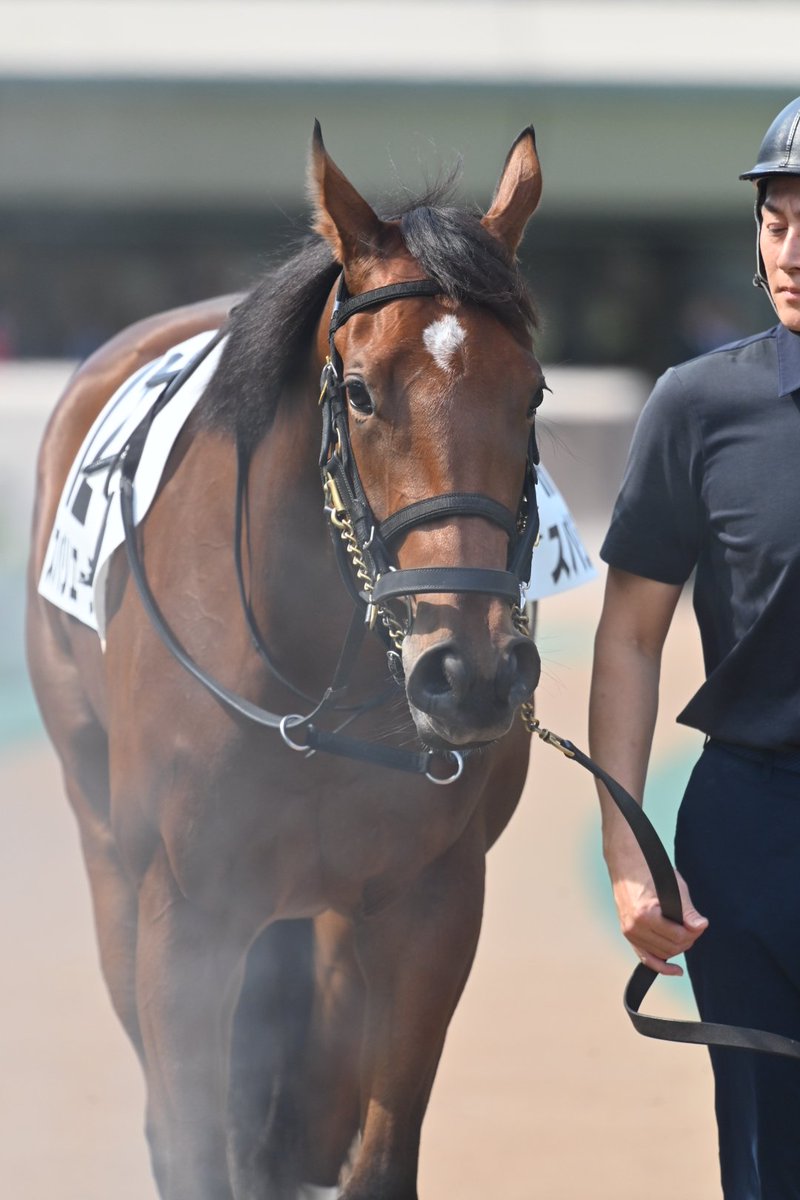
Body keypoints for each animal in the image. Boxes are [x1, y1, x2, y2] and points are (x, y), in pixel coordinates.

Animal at [26, 123, 546, 1200]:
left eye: (532, 394)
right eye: (360, 392)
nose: (469, 672)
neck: (315, 679)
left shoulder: (432, 904)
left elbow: (375, 1160)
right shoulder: (185, 914)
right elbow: (191, 1146)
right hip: (108, 853)